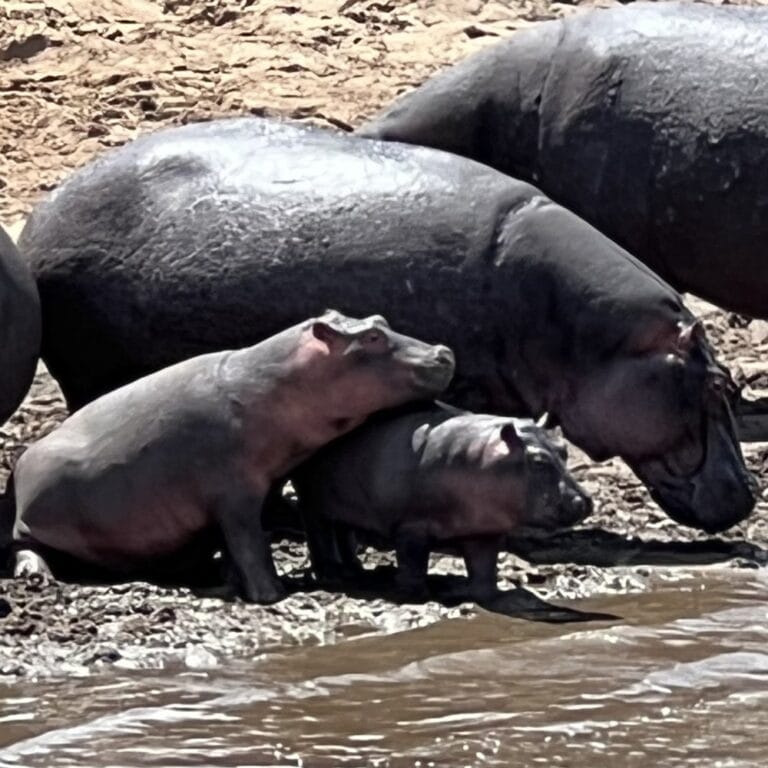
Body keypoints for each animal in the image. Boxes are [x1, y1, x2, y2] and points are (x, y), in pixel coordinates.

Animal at [9, 311, 455, 603]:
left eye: (380, 319)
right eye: (372, 338)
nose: (443, 352)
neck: (281, 379)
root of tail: (19, 467)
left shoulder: (266, 482)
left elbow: (235, 546)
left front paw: (231, 581)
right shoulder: (233, 491)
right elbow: (250, 542)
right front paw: (273, 595)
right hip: (36, 521)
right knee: (25, 547)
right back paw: (36, 578)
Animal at [290, 404, 591, 602]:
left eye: (564, 451)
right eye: (538, 461)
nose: (585, 501)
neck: (484, 457)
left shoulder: (483, 531)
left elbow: (484, 567)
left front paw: (486, 595)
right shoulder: (412, 526)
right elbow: (412, 562)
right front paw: (417, 594)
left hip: (344, 506)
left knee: (343, 530)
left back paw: (355, 571)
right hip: (312, 500)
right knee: (318, 532)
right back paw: (333, 576)